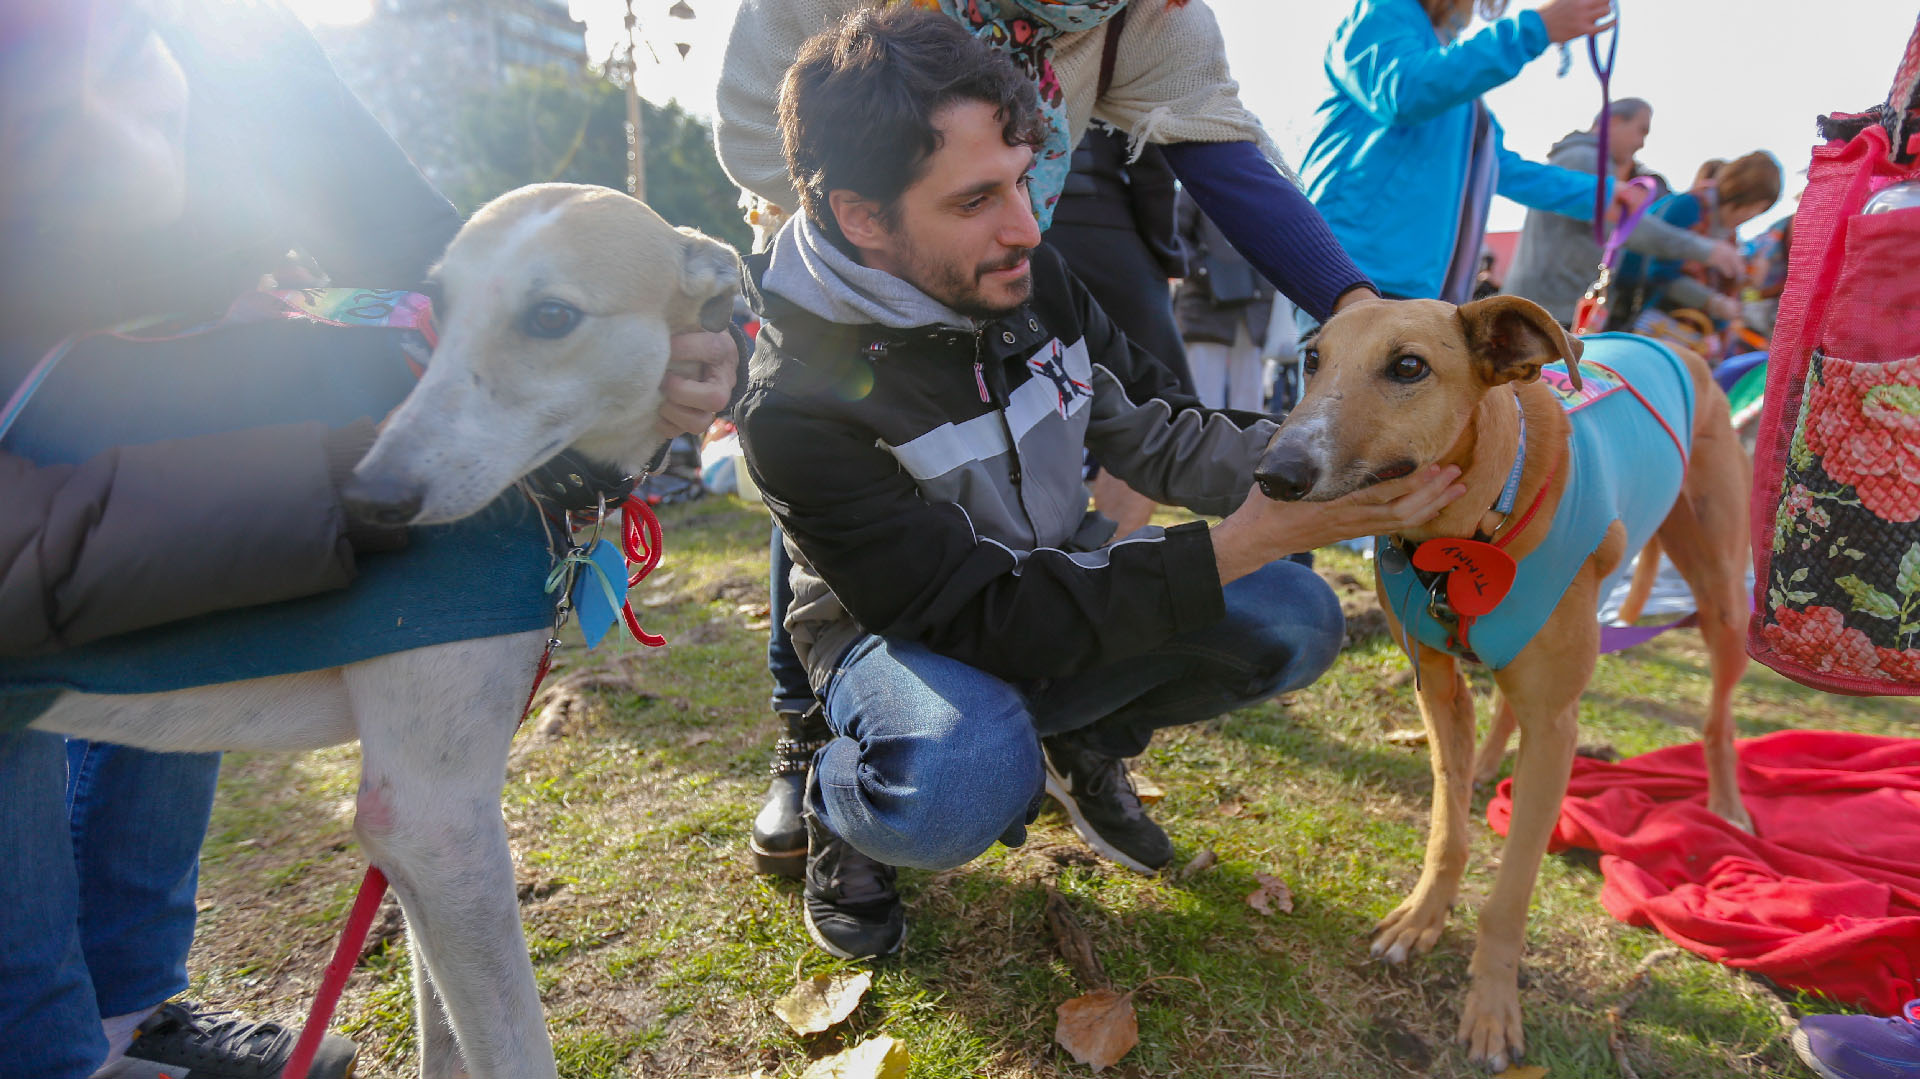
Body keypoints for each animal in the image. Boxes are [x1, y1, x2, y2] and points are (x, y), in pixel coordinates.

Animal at [33, 184, 748, 1075]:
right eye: (438, 301)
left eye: (551, 316)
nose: (366, 497)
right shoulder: (431, 815)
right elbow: (515, 1047)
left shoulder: (420, 840)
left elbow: (442, 1028)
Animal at [1251, 291, 1751, 1067]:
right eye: (1311, 358)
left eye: (1408, 367)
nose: (1276, 473)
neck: (1474, 523)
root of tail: (1672, 341)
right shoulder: (1436, 686)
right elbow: (1447, 830)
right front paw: (1423, 918)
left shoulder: (1556, 730)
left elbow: (1511, 892)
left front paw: (1491, 1009)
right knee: (1508, 710)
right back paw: (1488, 765)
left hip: (1723, 592)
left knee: (1718, 714)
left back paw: (1726, 805)